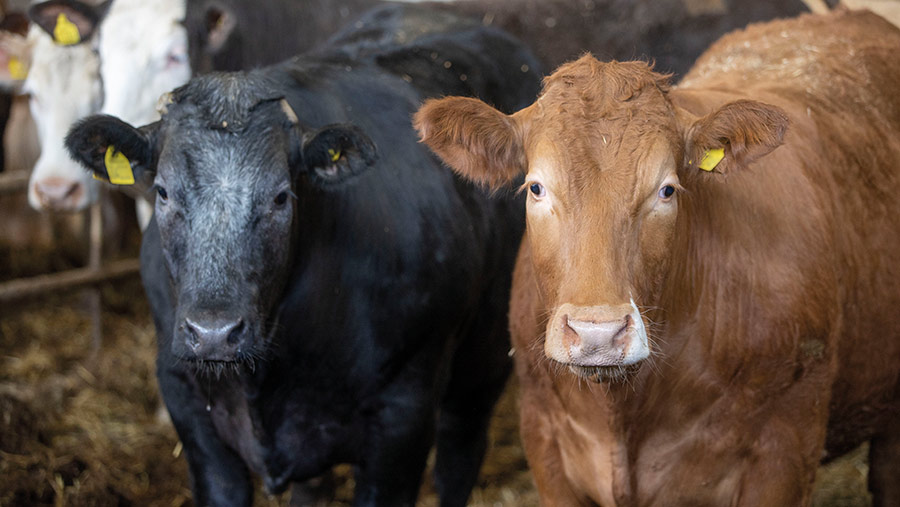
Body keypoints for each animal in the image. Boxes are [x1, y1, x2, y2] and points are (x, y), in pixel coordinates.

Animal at [65, 4, 540, 507]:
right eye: (162, 191)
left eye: (280, 197)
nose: (213, 333)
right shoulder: (191, 412)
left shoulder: (403, 420)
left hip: (485, 358)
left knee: (459, 453)